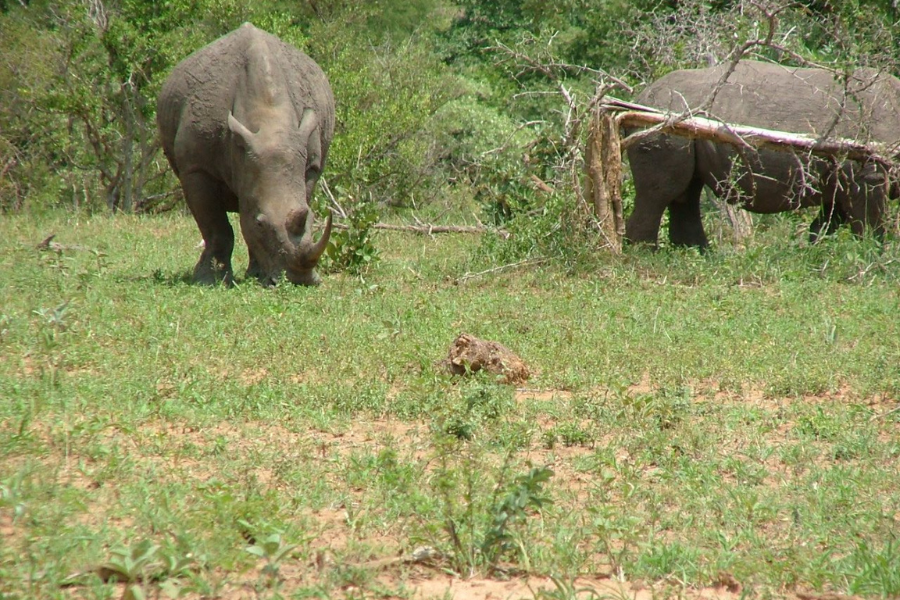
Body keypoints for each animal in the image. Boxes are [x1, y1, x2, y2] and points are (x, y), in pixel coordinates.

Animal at [157, 23, 334, 286]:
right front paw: (208, 280)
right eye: (260, 224)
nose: (298, 279)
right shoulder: (196, 167)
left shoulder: (311, 164)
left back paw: (256, 274)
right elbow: (216, 227)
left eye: (313, 220)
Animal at [624, 60, 900, 248]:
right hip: (663, 121)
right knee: (661, 192)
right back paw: (646, 255)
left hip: (684, 124)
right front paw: (875, 257)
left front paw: (813, 251)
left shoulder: (842, 178)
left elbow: (827, 223)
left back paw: (699, 255)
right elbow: (871, 225)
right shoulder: (867, 172)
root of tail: (639, 96)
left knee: (686, 192)